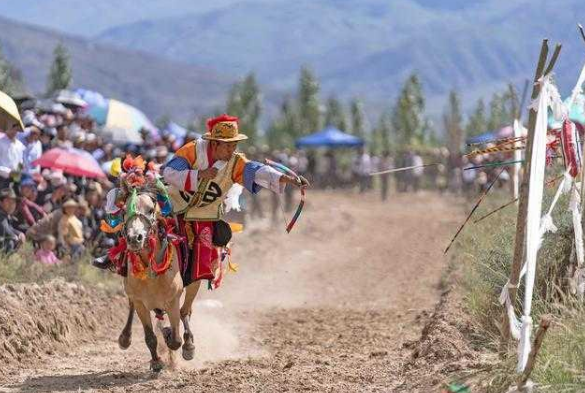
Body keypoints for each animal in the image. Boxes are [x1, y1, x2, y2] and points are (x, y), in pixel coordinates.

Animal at [116, 190, 203, 370]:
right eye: (124, 211)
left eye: (150, 210)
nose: (134, 238)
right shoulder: (141, 302)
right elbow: (150, 337)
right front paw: (156, 362)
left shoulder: (172, 300)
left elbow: (175, 340)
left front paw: (170, 336)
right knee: (131, 308)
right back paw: (125, 338)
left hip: (194, 284)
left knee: (186, 311)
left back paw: (188, 344)